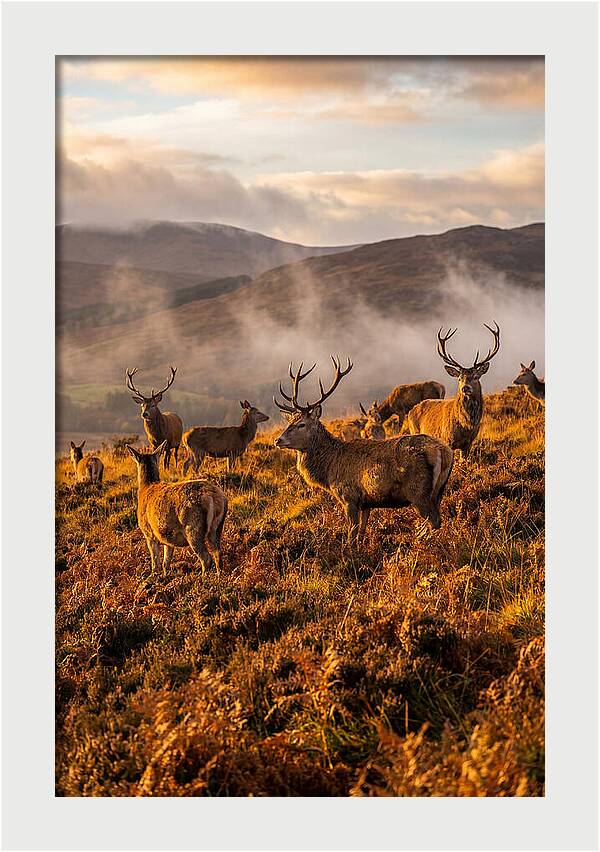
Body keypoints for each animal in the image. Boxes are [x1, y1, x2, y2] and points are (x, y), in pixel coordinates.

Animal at [126, 440, 227, 575]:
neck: (146, 488)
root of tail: (214, 497)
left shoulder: (148, 532)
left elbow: (155, 562)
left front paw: (154, 576)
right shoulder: (166, 536)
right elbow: (166, 562)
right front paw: (165, 575)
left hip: (193, 527)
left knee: (206, 558)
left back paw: (203, 578)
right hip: (217, 526)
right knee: (218, 554)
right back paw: (218, 576)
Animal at [273, 356, 454, 545]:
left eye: (301, 424)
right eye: (289, 422)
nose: (278, 440)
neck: (329, 470)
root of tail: (444, 452)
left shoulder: (349, 497)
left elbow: (351, 535)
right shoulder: (366, 502)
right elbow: (361, 533)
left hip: (418, 491)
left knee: (434, 520)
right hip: (440, 489)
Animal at [407, 322, 501, 461]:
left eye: (476, 377)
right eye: (459, 378)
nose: (465, 388)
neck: (466, 425)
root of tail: (410, 411)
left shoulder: (468, 444)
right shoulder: (447, 439)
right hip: (414, 431)